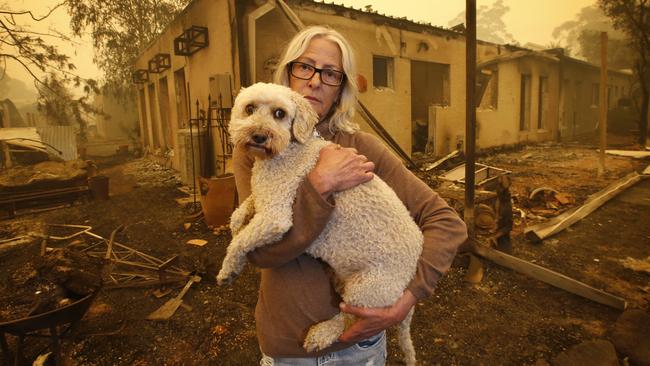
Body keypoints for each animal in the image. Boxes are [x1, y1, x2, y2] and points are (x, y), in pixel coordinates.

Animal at [218, 83, 420, 366]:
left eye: (279, 113)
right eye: (249, 108)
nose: (259, 136)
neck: (288, 151)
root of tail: (410, 281)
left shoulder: (275, 217)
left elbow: (239, 242)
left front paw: (228, 270)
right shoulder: (263, 197)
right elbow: (240, 213)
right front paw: (237, 224)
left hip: (367, 288)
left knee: (348, 319)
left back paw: (321, 334)